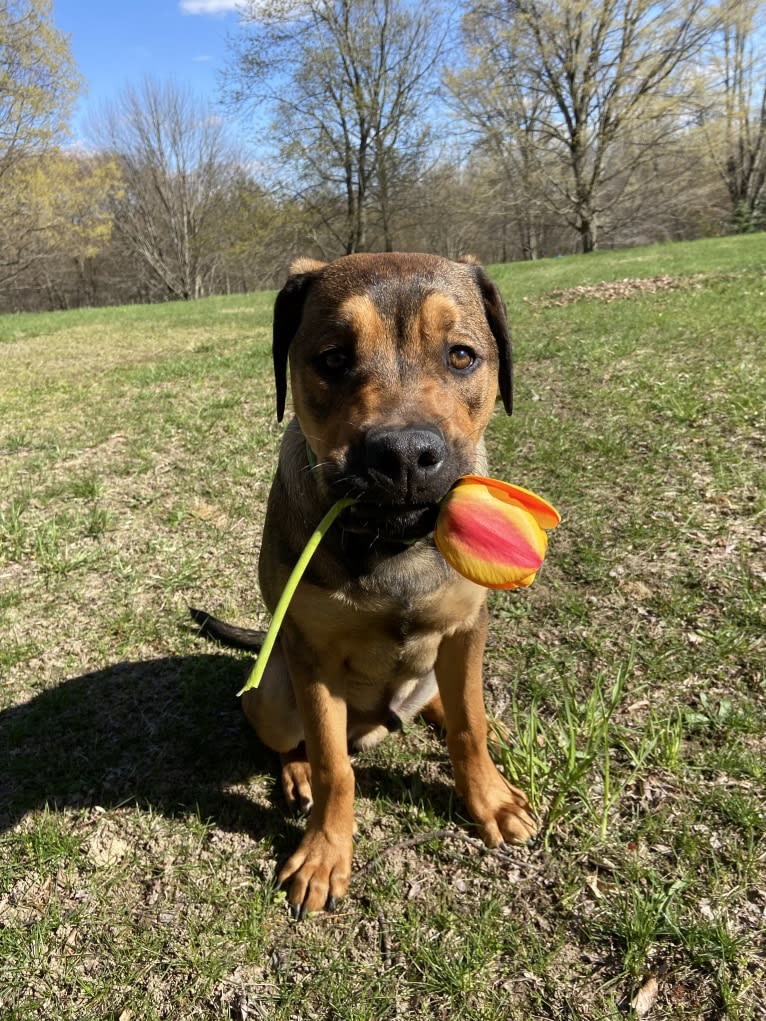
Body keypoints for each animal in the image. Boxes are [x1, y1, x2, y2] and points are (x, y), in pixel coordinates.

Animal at [195, 253, 535, 918]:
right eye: (332, 358)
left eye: (462, 355)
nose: (402, 456)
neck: (392, 546)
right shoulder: (311, 655)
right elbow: (335, 766)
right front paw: (324, 852)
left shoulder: (467, 628)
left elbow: (469, 726)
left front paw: (490, 799)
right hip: (271, 695)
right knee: (292, 738)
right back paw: (296, 772)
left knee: (448, 702)